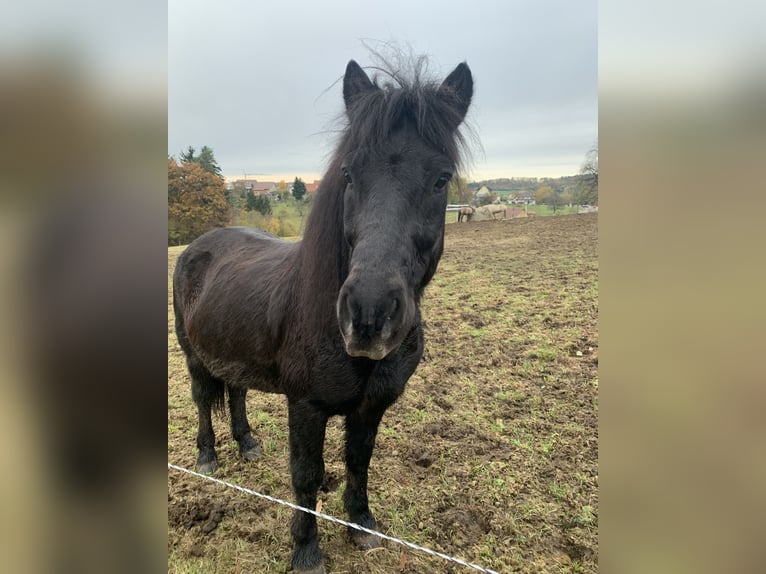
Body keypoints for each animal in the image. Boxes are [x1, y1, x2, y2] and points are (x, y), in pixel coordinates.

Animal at [174, 59, 474, 574]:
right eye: (349, 173)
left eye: (441, 178)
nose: (370, 315)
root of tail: (200, 245)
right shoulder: (306, 407)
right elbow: (306, 475)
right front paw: (307, 550)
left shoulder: (371, 408)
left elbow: (358, 463)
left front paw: (362, 526)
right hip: (193, 357)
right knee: (202, 398)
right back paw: (208, 457)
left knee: (236, 391)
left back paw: (247, 444)